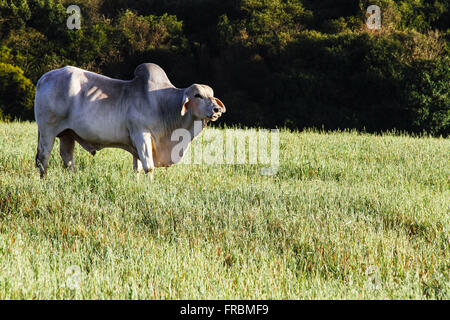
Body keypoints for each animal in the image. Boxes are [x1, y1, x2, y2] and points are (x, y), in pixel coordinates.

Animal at [34, 63, 225, 180]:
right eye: (197, 95)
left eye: (211, 95)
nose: (217, 109)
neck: (163, 105)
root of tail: (43, 78)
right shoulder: (141, 134)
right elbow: (149, 166)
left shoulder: (136, 144)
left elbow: (137, 167)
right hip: (47, 130)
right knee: (44, 156)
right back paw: (44, 180)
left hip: (67, 134)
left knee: (67, 158)